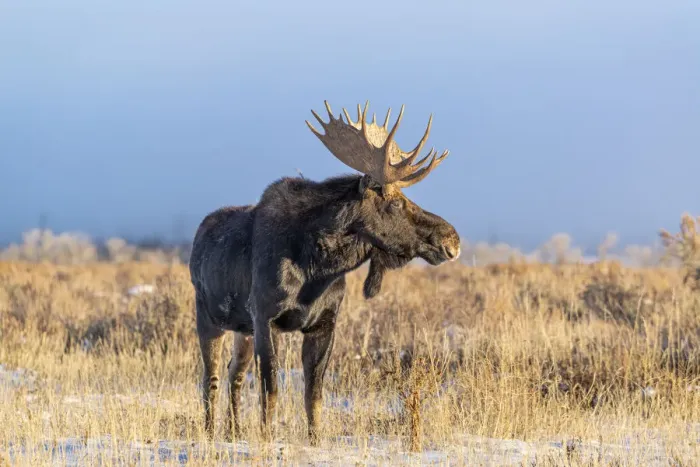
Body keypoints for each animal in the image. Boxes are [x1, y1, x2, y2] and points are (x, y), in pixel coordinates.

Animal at [188, 101, 461, 444]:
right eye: (396, 203)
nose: (452, 240)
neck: (316, 270)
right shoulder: (264, 317)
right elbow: (270, 390)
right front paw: (266, 439)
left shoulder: (325, 323)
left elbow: (314, 394)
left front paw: (314, 440)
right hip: (209, 317)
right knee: (209, 377)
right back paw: (210, 433)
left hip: (242, 328)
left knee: (233, 373)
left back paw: (234, 432)